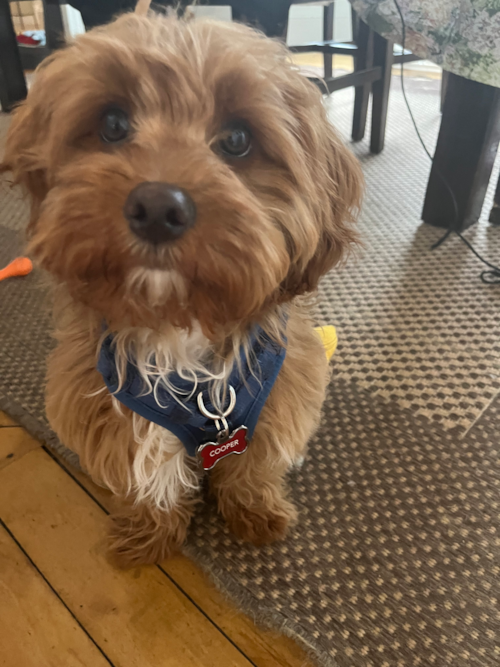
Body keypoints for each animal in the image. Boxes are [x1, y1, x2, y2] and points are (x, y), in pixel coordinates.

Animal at [0, 13, 360, 568]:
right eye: (113, 125)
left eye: (237, 138)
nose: (156, 207)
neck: (176, 324)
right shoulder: (108, 406)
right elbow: (149, 474)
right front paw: (149, 533)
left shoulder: (279, 393)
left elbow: (252, 465)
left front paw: (255, 511)